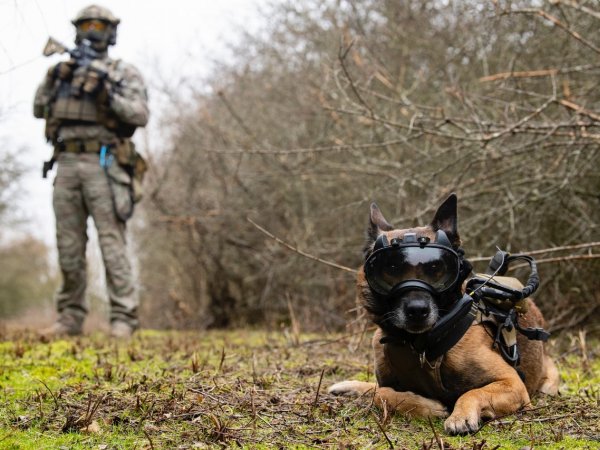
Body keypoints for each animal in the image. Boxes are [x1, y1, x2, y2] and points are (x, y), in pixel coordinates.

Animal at [328, 195, 556, 434]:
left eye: (436, 268)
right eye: (390, 268)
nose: (417, 310)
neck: (421, 345)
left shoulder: (512, 384)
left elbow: (472, 392)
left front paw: (460, 415)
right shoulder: (386, 382)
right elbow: (380, 393)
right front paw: (424, 405)